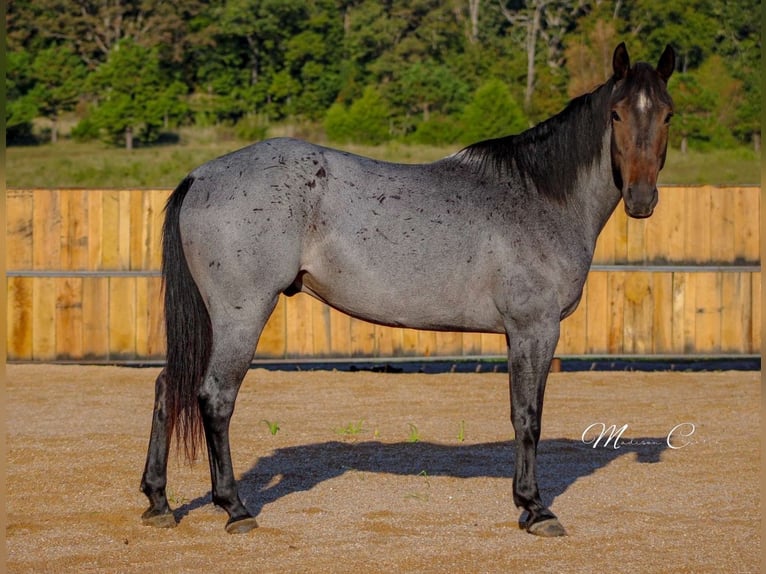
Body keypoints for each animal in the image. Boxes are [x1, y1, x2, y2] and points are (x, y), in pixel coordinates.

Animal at [140, 42, 675, 537]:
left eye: (668, 113)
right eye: (616, 113)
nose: (642, 200)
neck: (538, 196)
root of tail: (201, 175)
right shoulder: (533, 330)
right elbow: (527, 417)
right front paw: (535, 508)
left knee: (170, 387)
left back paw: (159, 502)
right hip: (242, 313)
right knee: (215, 397)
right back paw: (234, 508)